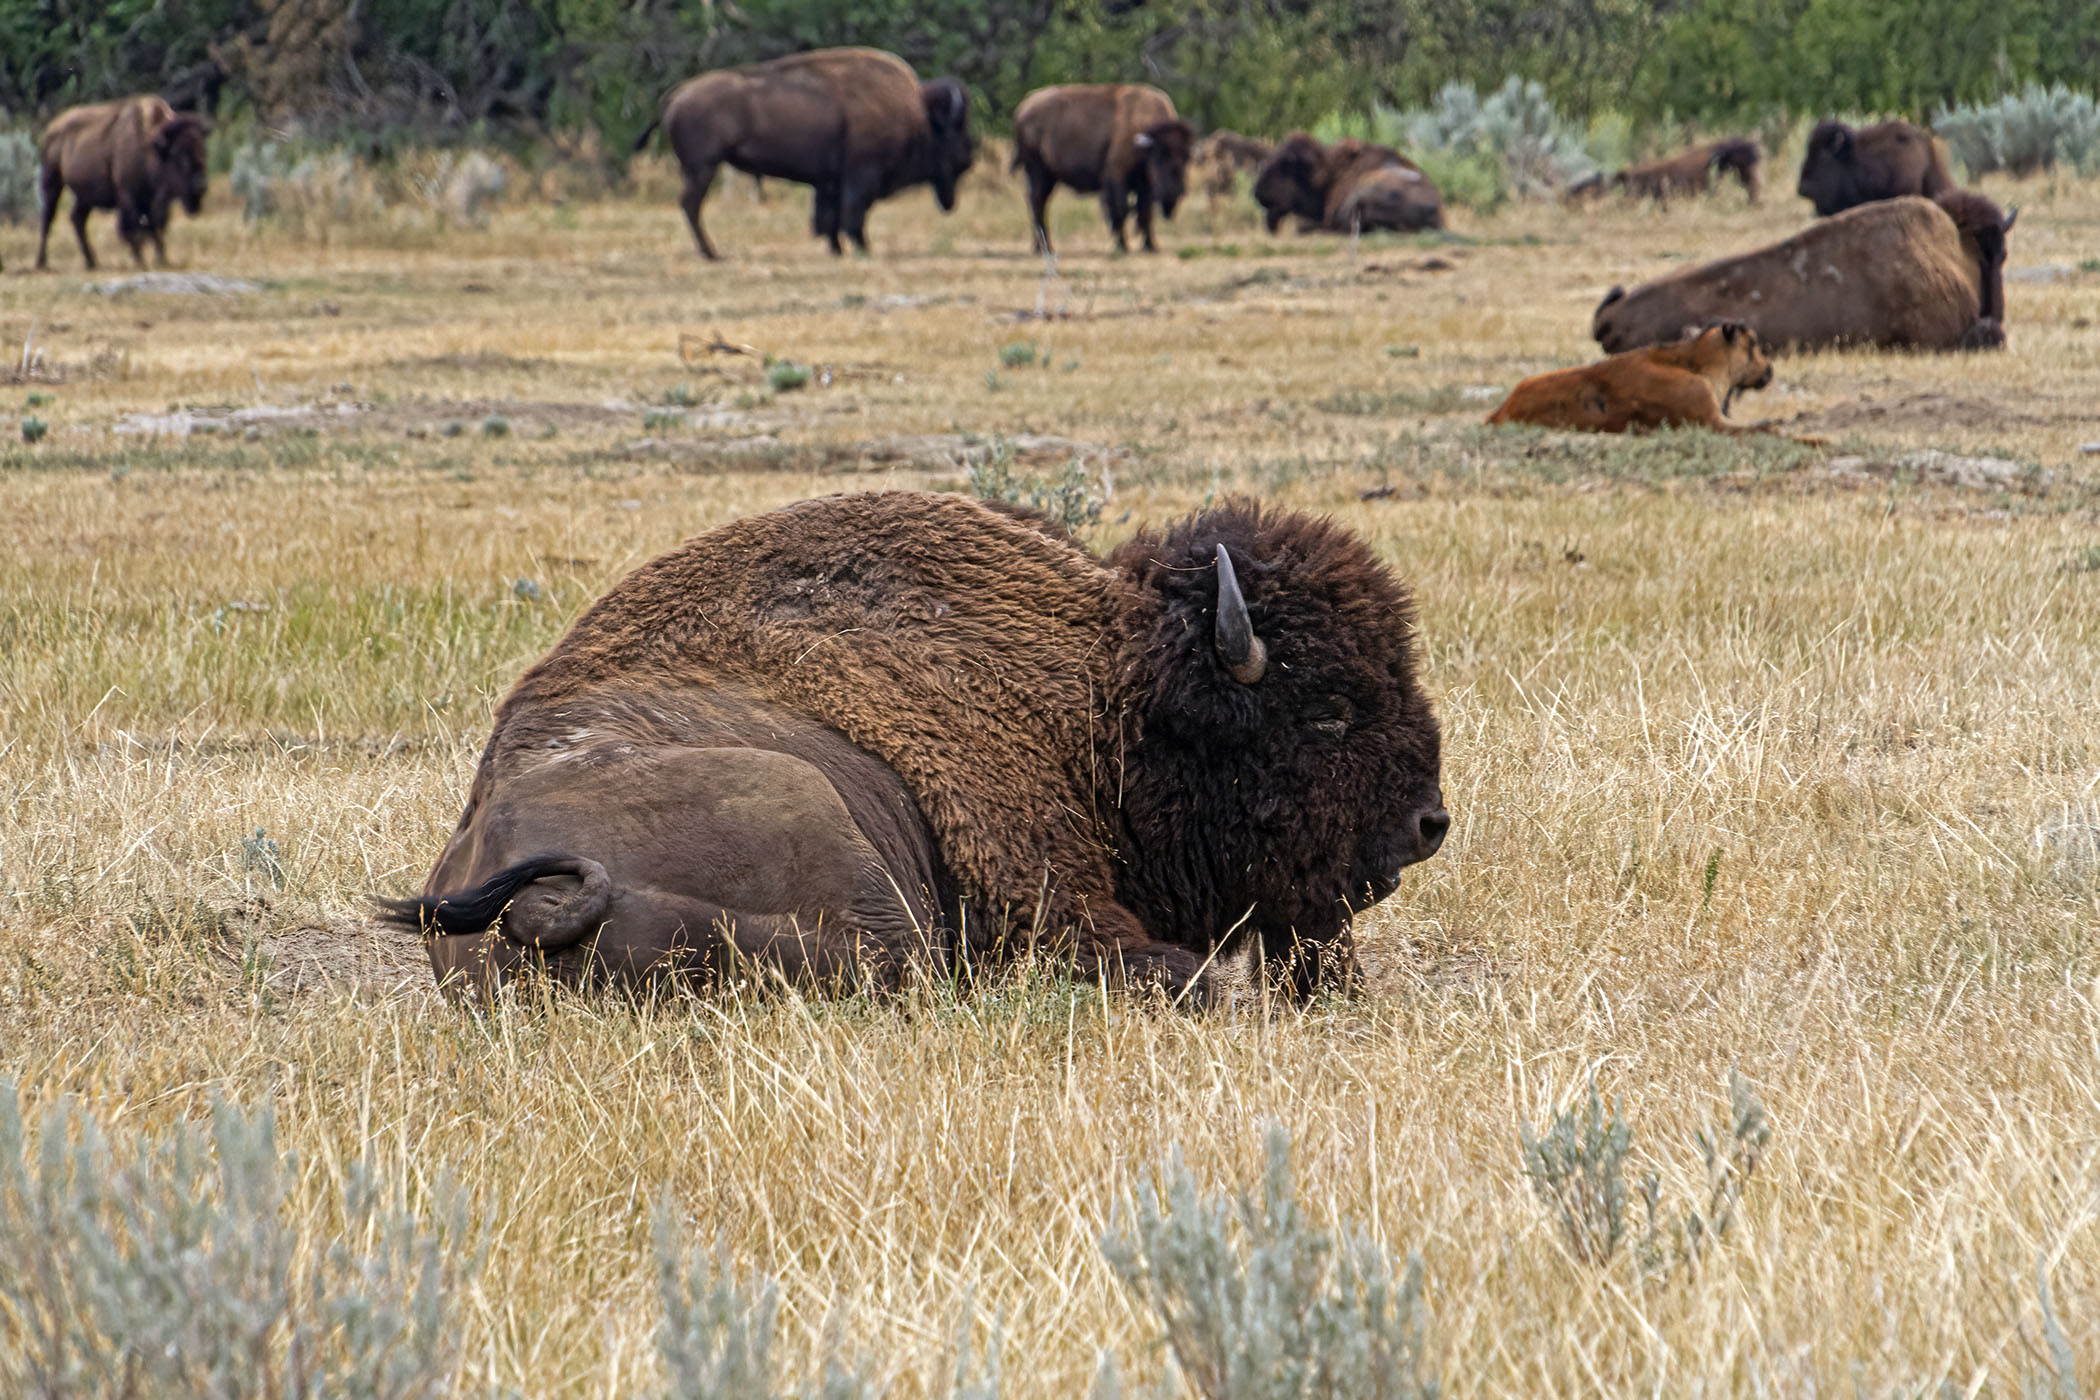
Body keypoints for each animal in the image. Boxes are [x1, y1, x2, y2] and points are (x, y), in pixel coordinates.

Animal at [36, 96, 210, 271]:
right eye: (178, 154)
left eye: (203, 151)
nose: (200, 186)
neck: (150, 147)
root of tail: (51, 129)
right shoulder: (127, 195)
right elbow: (132, 226)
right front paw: (141, 260)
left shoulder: (151, 200)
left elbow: (154, 225)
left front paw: (162, 259)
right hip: (52, 183)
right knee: (48, 218)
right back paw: (41, 262)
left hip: (85, 197)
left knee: (77, 218)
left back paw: (92, 262)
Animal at [380, 492, 1448, 1006]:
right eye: (1330, 707)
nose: (1427, 824)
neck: (1109, 695)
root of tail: (521, 890)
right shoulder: (1049, 895)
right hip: (827, 831)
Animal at [634, 47, 973, 259]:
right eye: (954, 134)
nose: (967, 159)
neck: (918, 114)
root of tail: (676, 95)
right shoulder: (859, 178)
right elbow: (852, 216)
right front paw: (864, 249)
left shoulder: (830, 182)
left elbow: (829, 218)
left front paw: (837, 250)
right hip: (703, 167)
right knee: (691, 204)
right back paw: (712, 254)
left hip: (698, 168)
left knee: (690, 205)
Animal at [1012, 84, 1194, 254]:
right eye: (1160, 156)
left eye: (1187, 157)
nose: (1175, 191)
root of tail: (1024, 106)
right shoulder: (1116, 175)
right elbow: (1121, 210)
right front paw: (1122, 245)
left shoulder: (1146, 186)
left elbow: (1145, 213)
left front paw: (1151, 246)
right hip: (1037, 170)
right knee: (1037, 203)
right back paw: (1045, 248)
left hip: (1048, 177)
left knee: (1039, 203)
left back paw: (1041, 247)